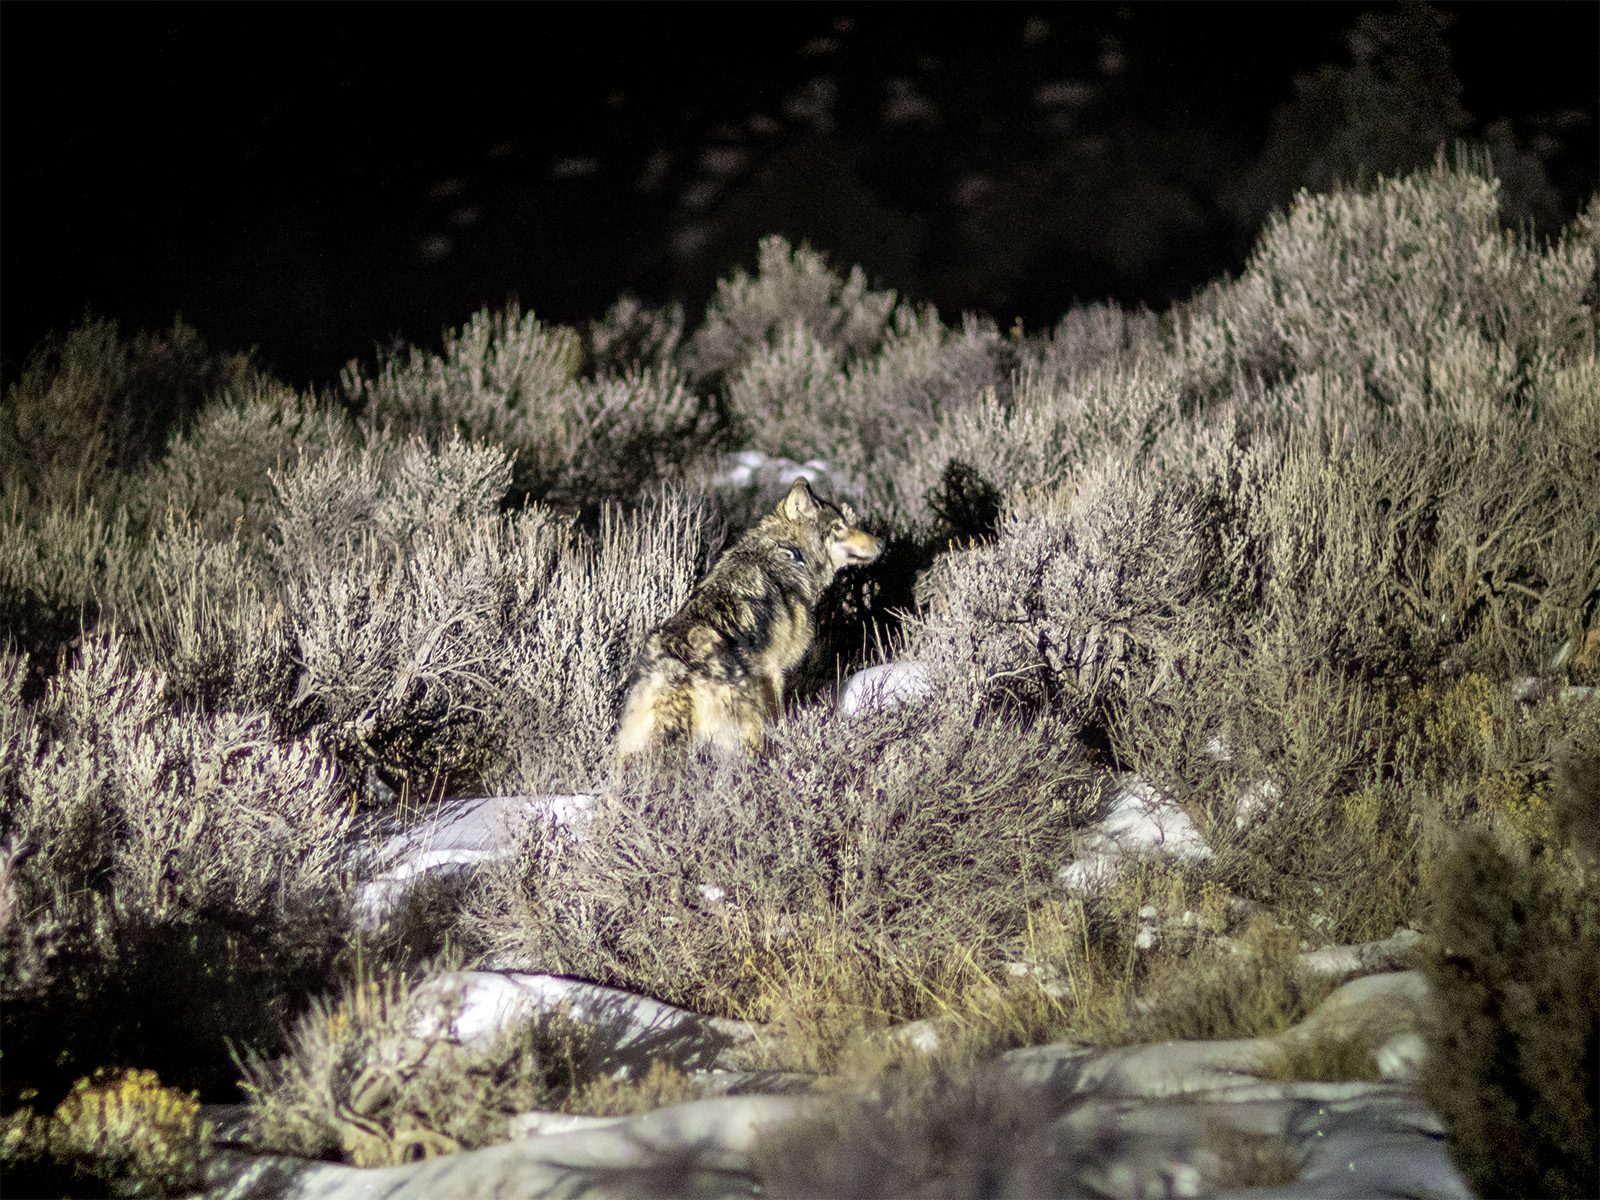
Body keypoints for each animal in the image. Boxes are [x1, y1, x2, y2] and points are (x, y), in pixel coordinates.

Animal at [615, 478, 882, 761]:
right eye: (838, 527)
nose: (883, 544)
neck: (788, 552)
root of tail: (671, 669)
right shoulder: (775, 671)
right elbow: (779, 718)